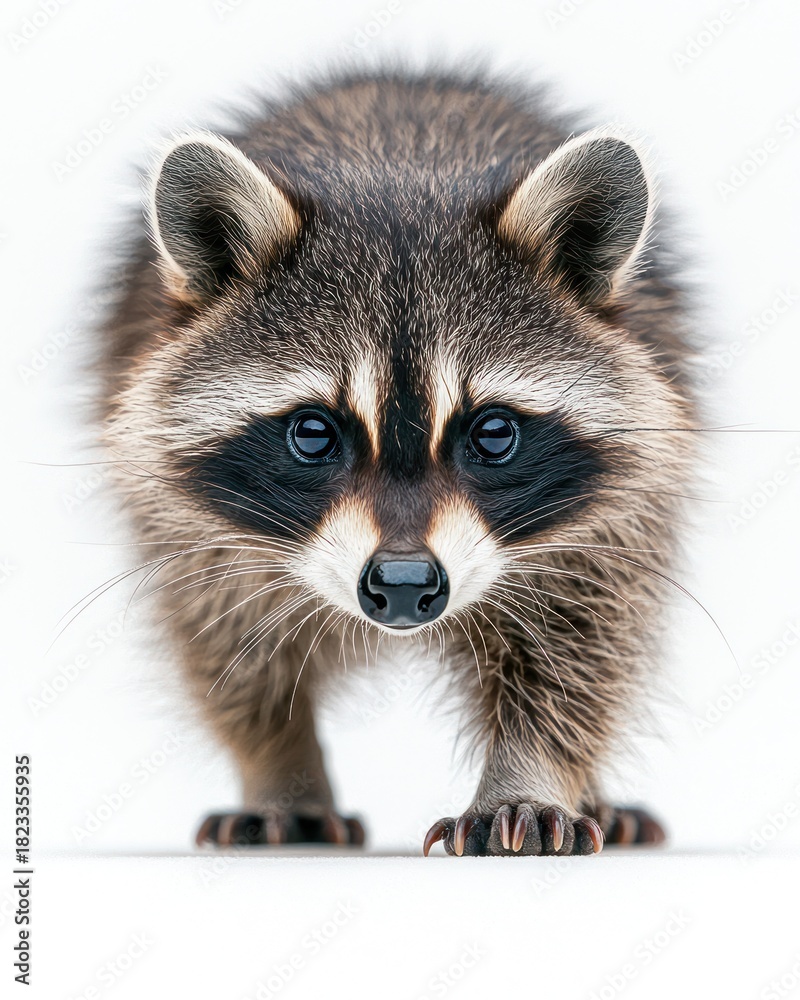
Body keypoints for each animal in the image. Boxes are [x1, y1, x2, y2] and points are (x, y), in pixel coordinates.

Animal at [101, 70, 694, 857]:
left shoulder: (612, 522)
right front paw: (282, 770)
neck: (399, 177)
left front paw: (528, 776)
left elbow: (580, 652)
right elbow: (234, 656)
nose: (407, 584)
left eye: (493, 433)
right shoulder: (191, 531)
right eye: (313, 434)